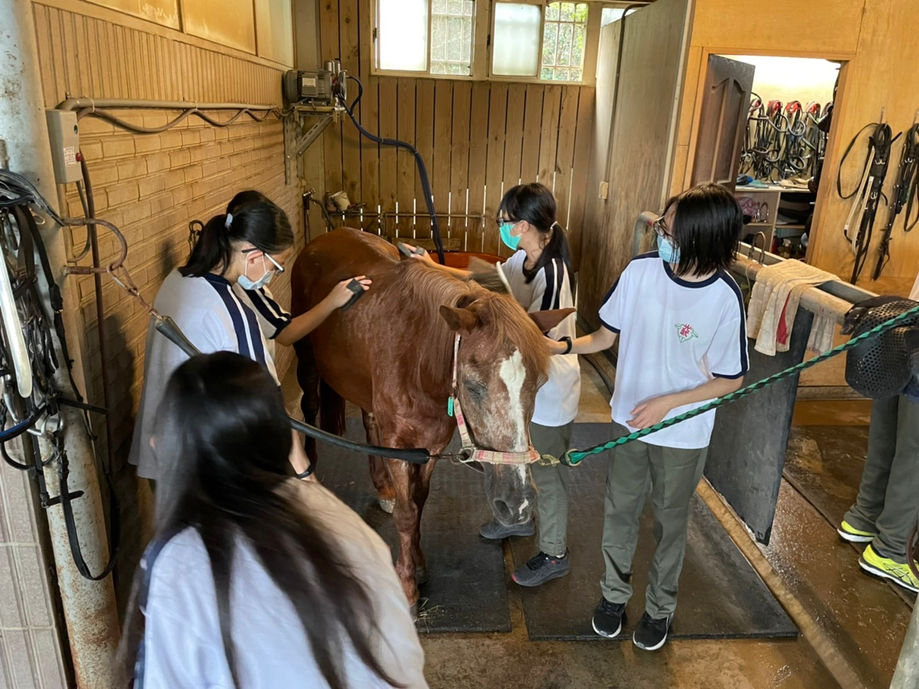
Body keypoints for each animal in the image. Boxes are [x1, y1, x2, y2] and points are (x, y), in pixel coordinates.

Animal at [291, 228, 568, 606]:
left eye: (539, 384)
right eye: (473, 384)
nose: (517, 503)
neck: (418, 356)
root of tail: (325, 237)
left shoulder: (432, 445)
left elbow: (419, 501)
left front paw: (420, 563)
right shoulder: (400, 444)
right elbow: (408, 513)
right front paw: (407, 585)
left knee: (369, 421)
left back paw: (384, 488)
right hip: (306, 361)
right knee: (310, 405)